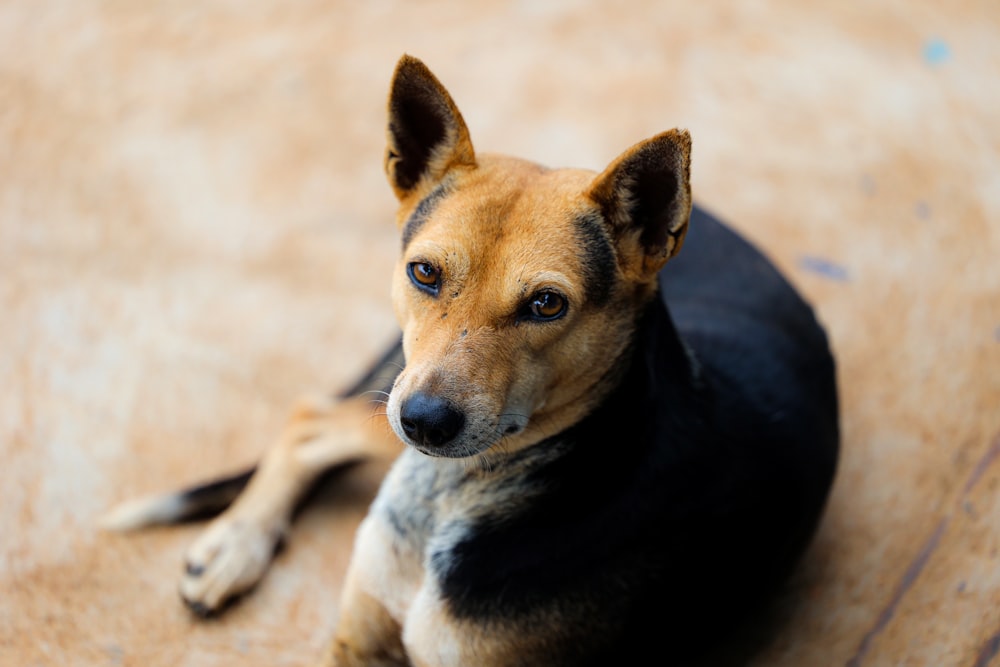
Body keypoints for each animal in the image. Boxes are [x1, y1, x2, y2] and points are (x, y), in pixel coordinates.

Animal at [105, 54, 840, 664]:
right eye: (424, 272)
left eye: (546, 304)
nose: (427, 422)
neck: (454, 495)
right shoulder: (357, 638)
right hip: (384, 406)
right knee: (310, 416)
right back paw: (232, 547)